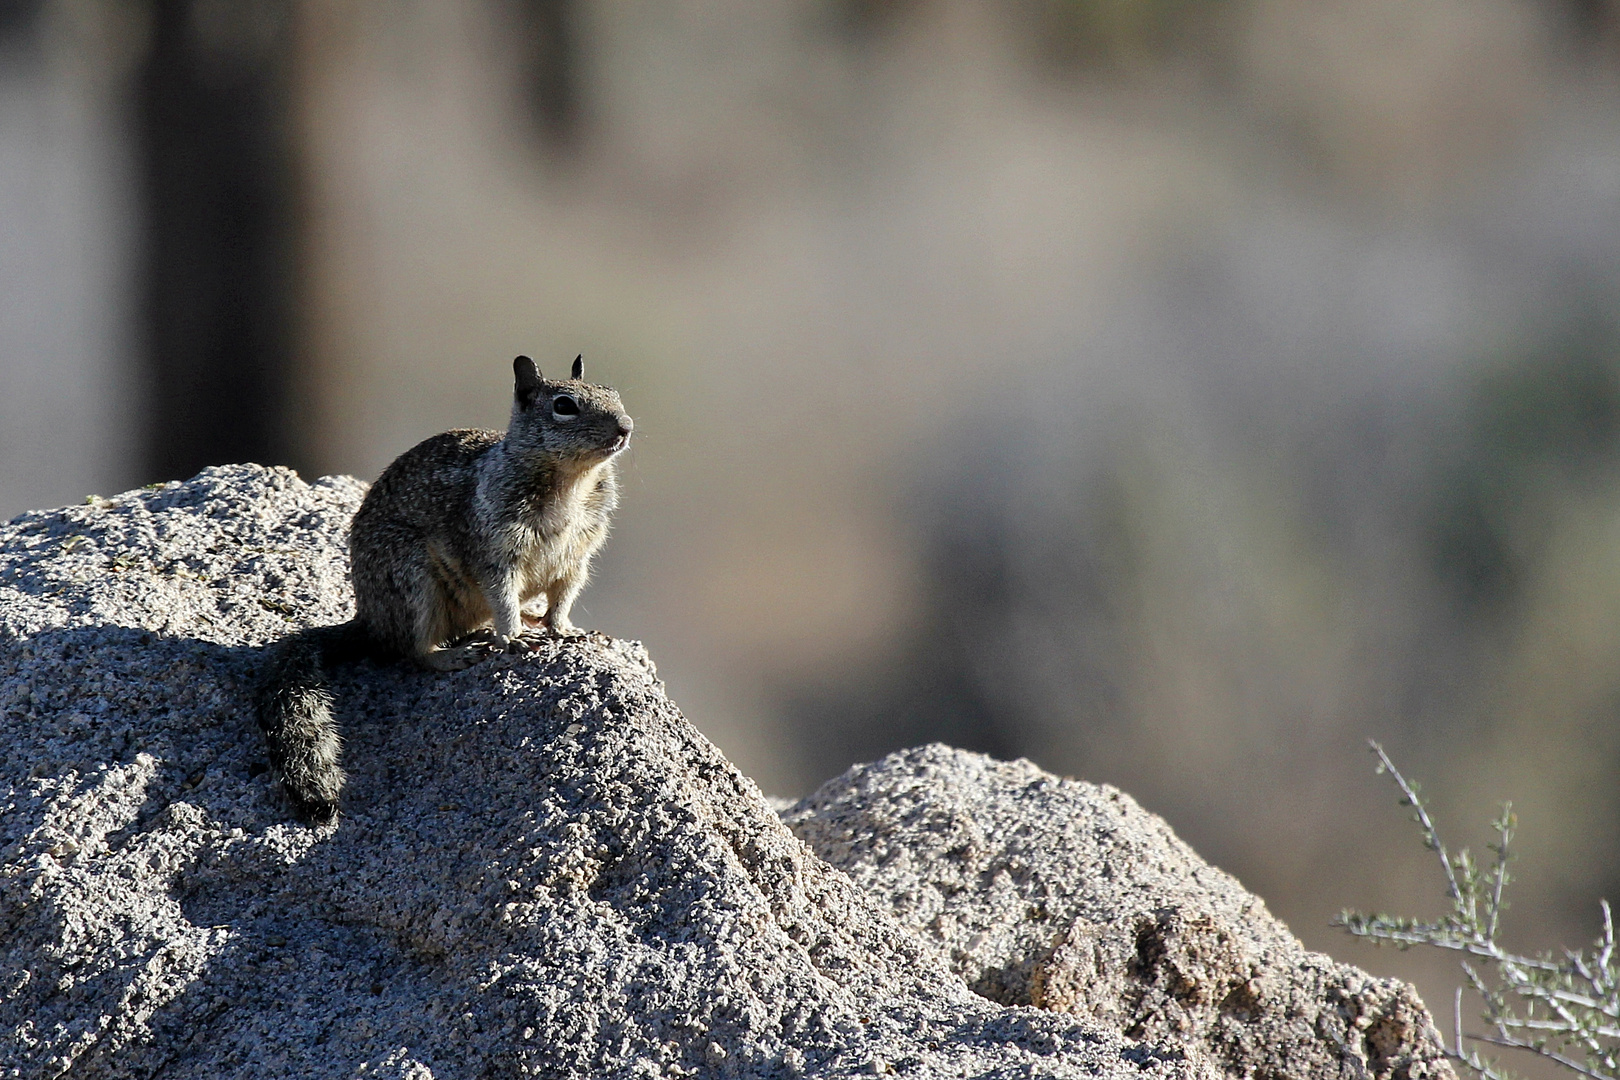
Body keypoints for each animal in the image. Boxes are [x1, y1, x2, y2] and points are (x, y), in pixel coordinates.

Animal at [255, 354, 628, 819]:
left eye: (614, 393)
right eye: (564, 406)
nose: (625, 427)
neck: (571, 482)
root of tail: (369, 620)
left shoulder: (577, 558)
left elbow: (563, 598)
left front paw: (565, 630)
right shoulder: (493, 553)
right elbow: (502, 597)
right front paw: (514, 638)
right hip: (412, 582)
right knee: (413, 651)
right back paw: (455, 654)